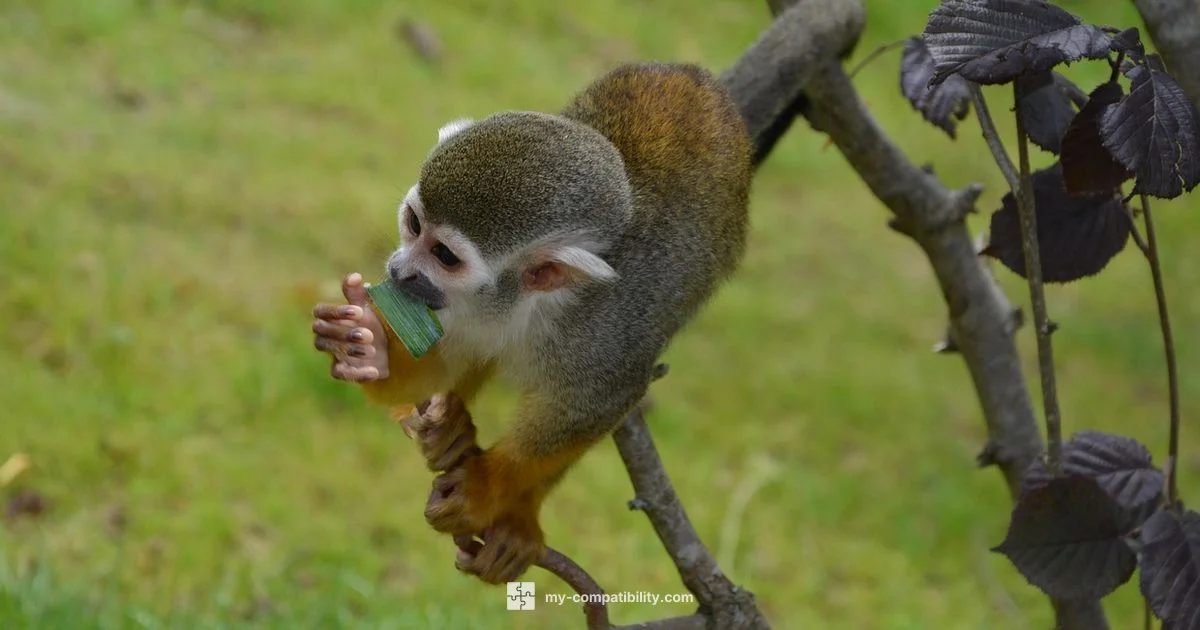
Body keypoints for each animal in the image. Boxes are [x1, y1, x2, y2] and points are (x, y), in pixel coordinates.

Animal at [312, 61, 752, 584]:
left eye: (444, 256)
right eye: (414, 224)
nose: (400, 271)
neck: (525, 304)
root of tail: (695, 74)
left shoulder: (609, 333)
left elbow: (596, 403)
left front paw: (486, 487)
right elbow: (434, 365)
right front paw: (368, 349)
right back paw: (449, 430)